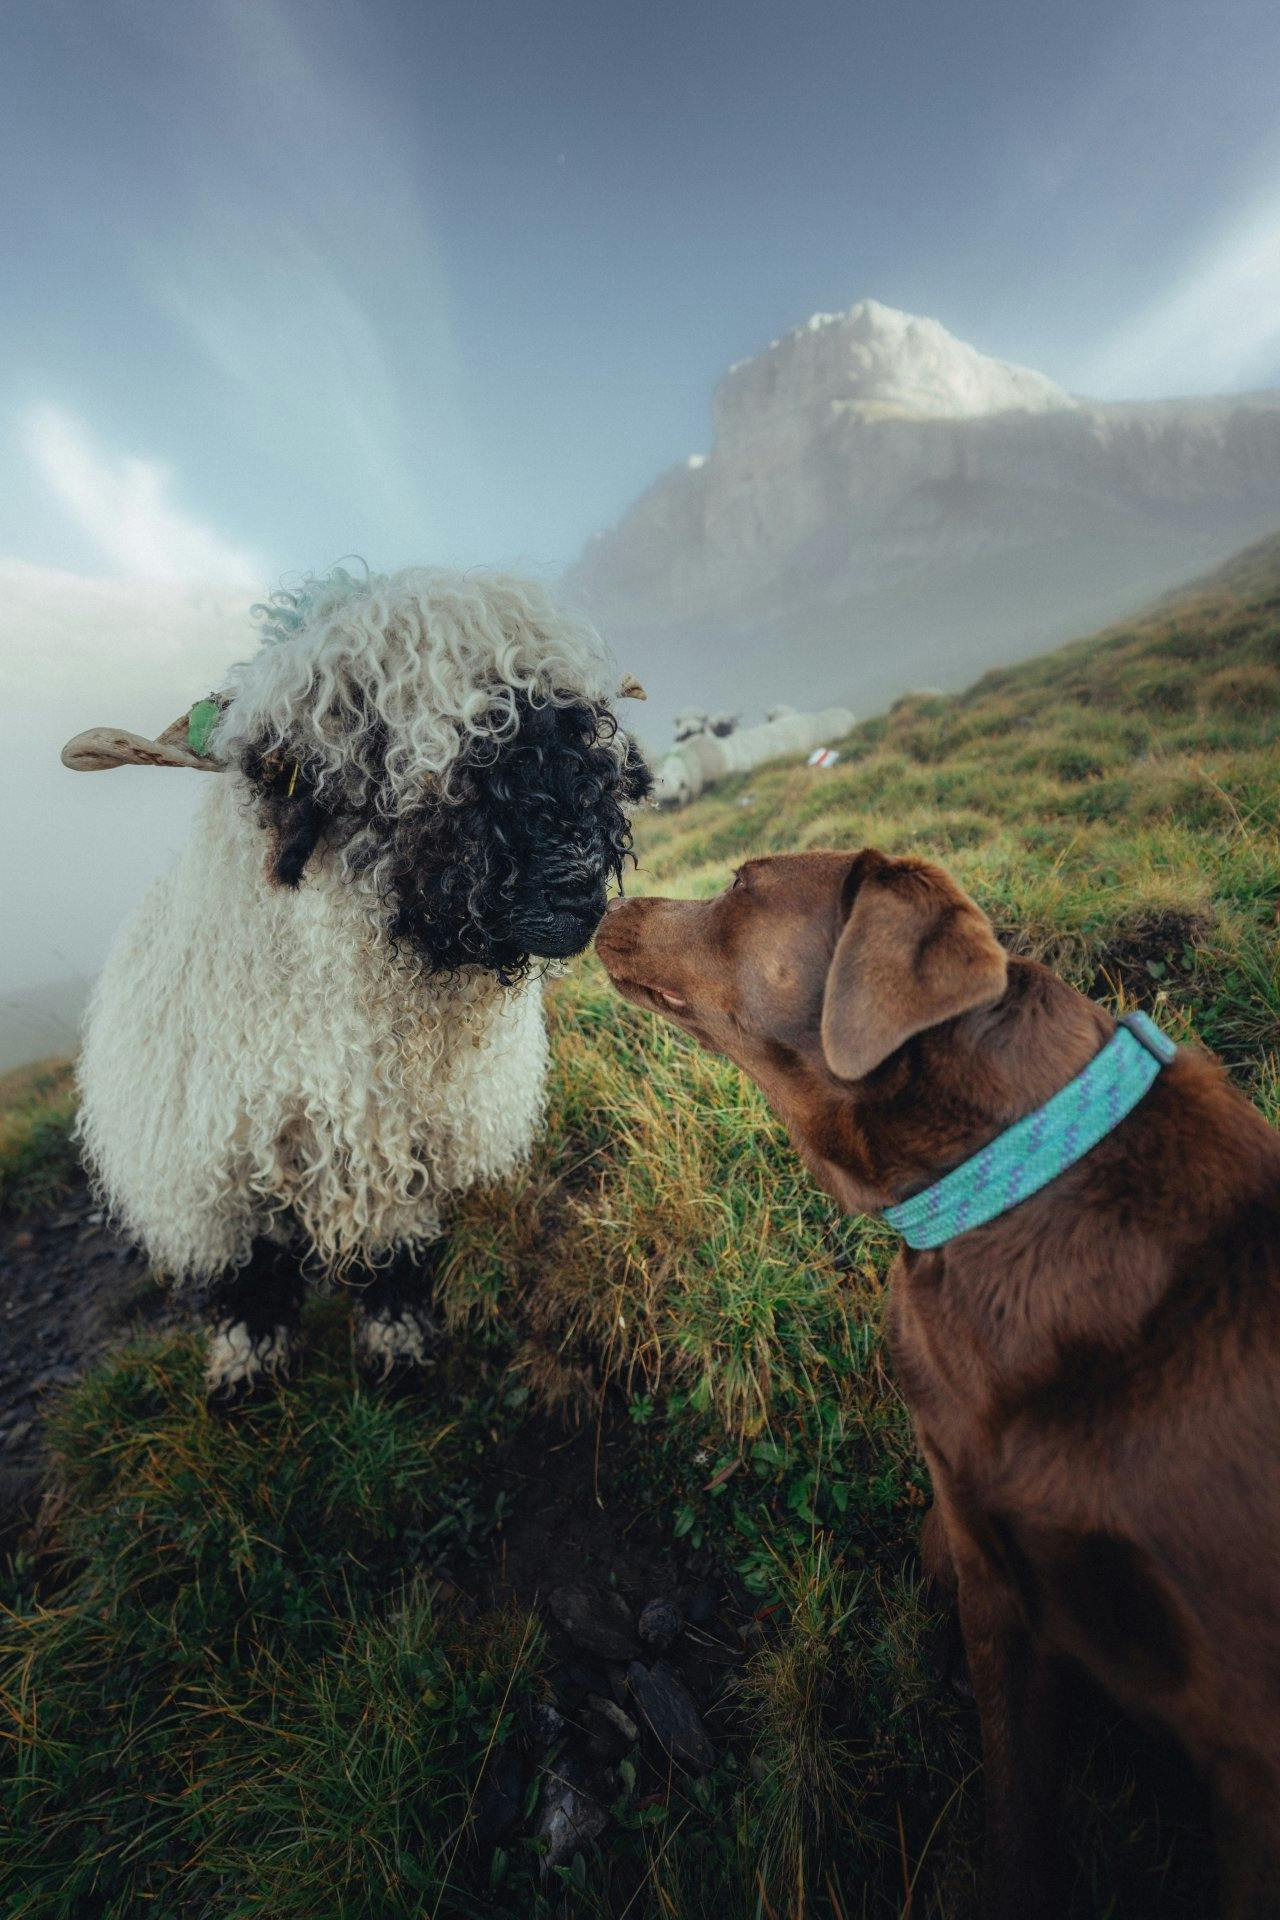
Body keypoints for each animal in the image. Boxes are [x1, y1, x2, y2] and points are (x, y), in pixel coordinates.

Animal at [66, 567, 651, 1402]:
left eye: (577, 724)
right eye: (373, 753)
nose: (575, 888)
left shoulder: (402, 1141)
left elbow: (394, 1252)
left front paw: (396, 1344)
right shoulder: (218, 1164)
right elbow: (251, 1272)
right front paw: (248, 1366)